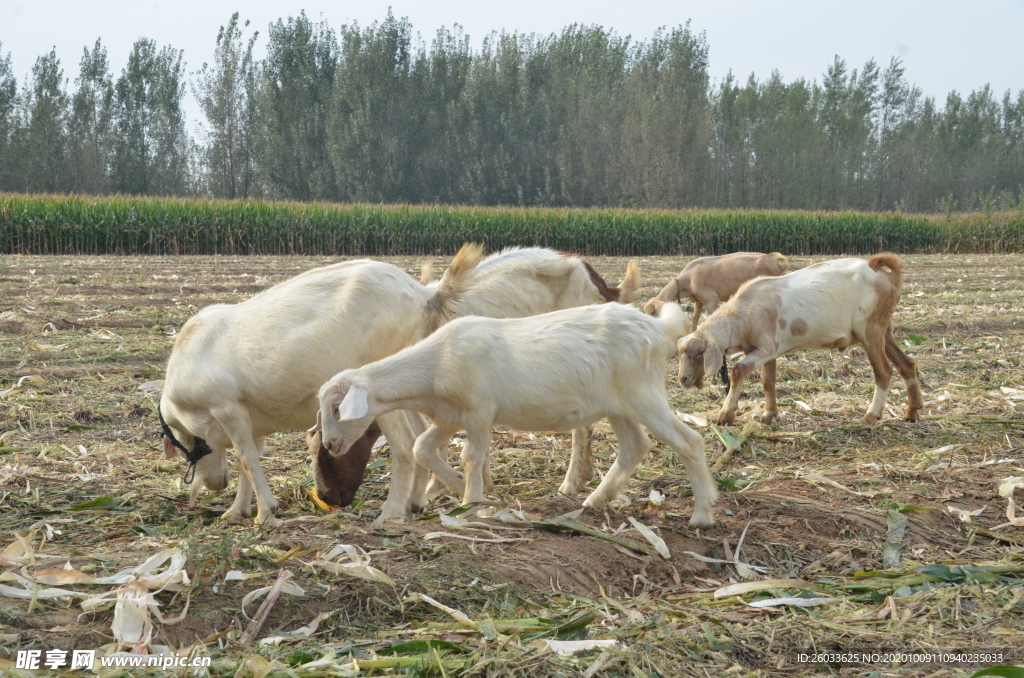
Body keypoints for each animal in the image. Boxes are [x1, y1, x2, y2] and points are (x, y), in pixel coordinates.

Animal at [315, 303, 716, 532]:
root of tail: (657, 329)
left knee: (689, 442)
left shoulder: (479, 411)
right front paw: (457, 486)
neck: (434, 363)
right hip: (618, 406)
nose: (330, 444)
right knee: (635, 447)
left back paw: (703, 514)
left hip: (643, 394)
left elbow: (471, 456)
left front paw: (470, 501)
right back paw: (595, 500)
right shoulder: (450, 417)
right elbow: (422, 449)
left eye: (337, 408)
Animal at [675, 251, 925, 428]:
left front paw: (726, 415)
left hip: (870, 329)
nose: (683, 379)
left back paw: (871, 415)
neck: (743, 313)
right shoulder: (768, 351)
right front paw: (767, 415)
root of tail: (887, 276)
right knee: (907, 364)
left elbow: (738, 371)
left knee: (884, 371)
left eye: (699, 352)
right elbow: (768, 381)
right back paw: (911, 412)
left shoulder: (764, 348)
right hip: (885, 329)